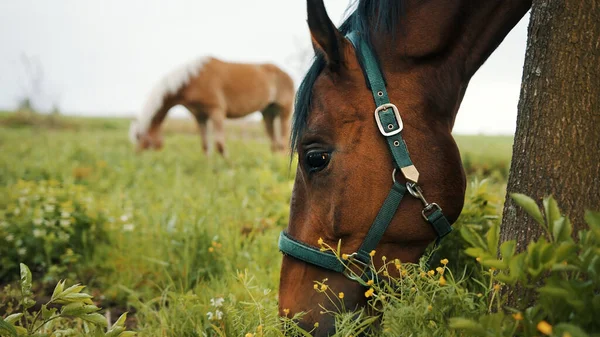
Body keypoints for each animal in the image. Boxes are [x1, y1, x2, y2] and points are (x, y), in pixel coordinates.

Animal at [129, 56, 296, 154]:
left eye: (143, 141)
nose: (138, 158)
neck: (193, 79)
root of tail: (286, 74)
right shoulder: (200, 116)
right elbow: (205, 146)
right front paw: (209, 170)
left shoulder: (216, 111)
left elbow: (220, 145)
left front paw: (229, 168)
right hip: (268, 113)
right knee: (274, 142)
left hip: (284, 112)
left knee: (283, 141)